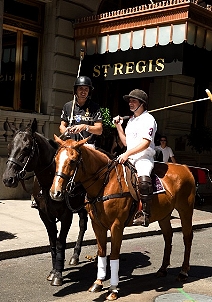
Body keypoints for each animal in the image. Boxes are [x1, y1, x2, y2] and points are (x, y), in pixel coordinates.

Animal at [2, 119, 88, 286]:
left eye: (26, 148)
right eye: (9, 146)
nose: (8, 178)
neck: (50, 181)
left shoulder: (66, 215)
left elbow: (60, 241)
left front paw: (58, 274)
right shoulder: (45, 215)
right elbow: (52, 241)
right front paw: (54, 270)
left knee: (83, 224)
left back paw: (76, 255)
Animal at [49, 136, 195, 300]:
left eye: (73, 161)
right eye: (56, 160)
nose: (55, 193)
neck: (105, 183)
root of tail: (185, 168)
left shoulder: (116, 226)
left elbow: (114, 255)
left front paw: (113, 289)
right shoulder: (97, 225)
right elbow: (102, 253)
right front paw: (98, 283)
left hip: (185, 210)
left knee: (187, 237)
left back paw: (183, 272)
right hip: (163, 215)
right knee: (168, 236)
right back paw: (163, 269)